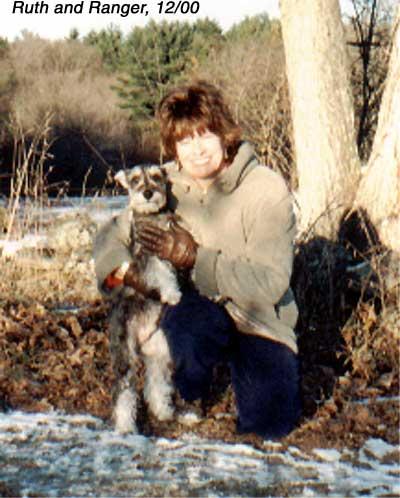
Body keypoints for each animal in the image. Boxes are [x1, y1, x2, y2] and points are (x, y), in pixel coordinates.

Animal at [108, 165, 180, 434]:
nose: (148, 193)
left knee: (155, 384)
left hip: (159, 351)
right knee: (124, 390)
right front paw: (172, 293)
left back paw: (163, 411)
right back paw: (125, 426)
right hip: (125, 354)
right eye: (135, 179)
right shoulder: (149, 254)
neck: (152, 216)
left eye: (157, 176)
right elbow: (161, 271)